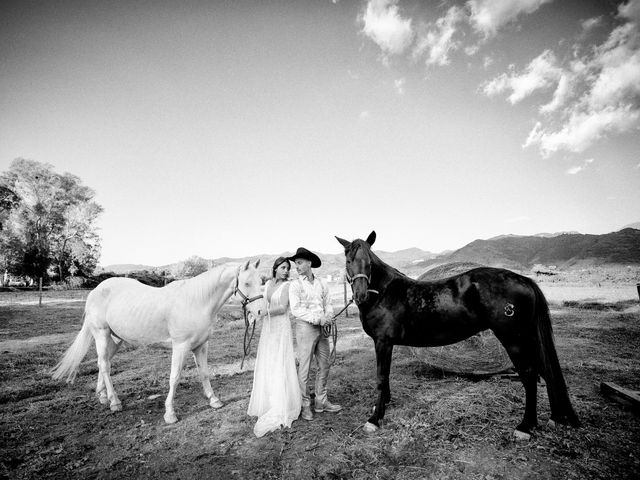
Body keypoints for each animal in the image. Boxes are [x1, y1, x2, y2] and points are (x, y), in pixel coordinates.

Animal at [52, 260, 264, 422]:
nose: (261, 311)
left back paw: (103, 396)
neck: (197, 301)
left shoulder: (201, 346)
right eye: (246, 283)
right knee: (104, 365)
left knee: (103, 363)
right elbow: (175, 378)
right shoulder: (180, 347)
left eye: (261, 281)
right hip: (101, 334)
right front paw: (170, 414)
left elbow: (204, 373)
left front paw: (214, 400)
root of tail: (95, 290)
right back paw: (115, 402)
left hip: (115, 339)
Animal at [336, 231, 580, 436]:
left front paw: (375, 418)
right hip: (528, 339)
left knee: (529, 376)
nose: (360, 296)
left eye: (369, 262)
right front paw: (383, 404)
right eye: (348, 261)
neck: (384, 293)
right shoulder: (385, 344)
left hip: (514, 341)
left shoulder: (383, 342)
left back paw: (525, 426)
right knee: (544, 372)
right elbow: (384, 378)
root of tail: (525, 280)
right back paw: (553, 418)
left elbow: (380, 378)